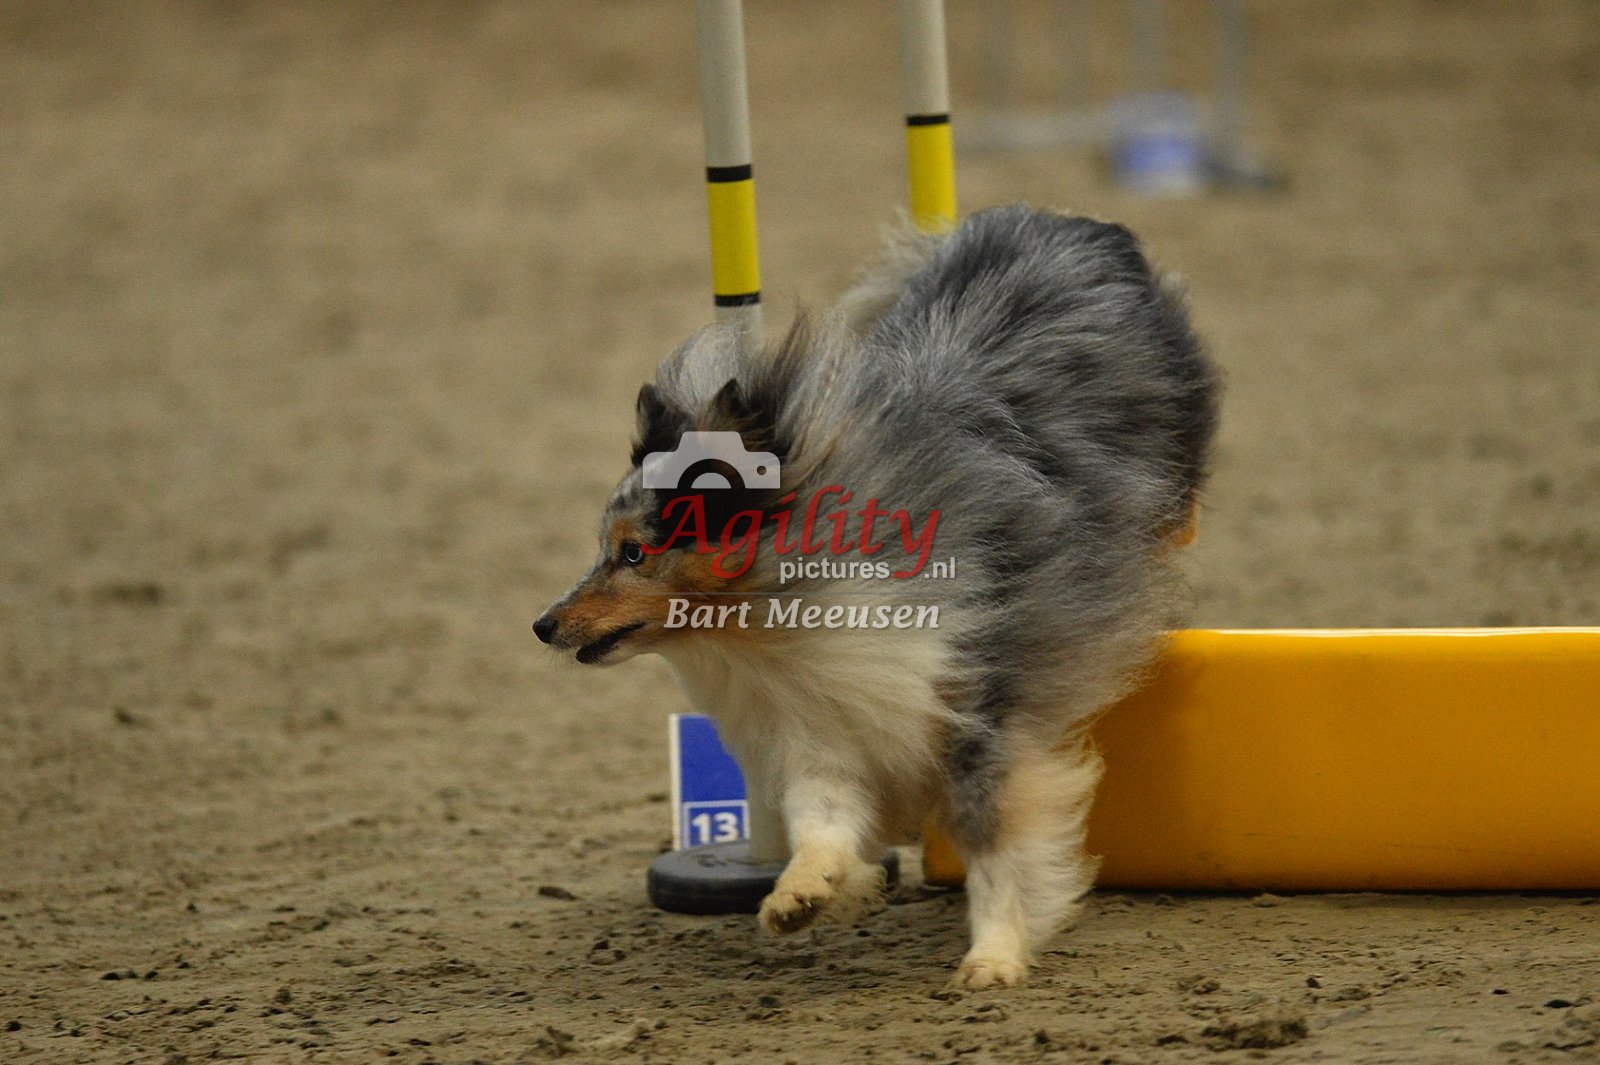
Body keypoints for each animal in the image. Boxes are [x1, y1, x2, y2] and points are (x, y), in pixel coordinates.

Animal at [534, 205, 1219, 988]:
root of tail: (1064, 220)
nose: (542, 624)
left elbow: (993, 847)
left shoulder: (978, 712)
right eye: (606, 547)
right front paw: (801, 892)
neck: (773, 623)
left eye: (634, 553)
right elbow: (821, 818)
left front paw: (994, 956)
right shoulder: (822, 727)